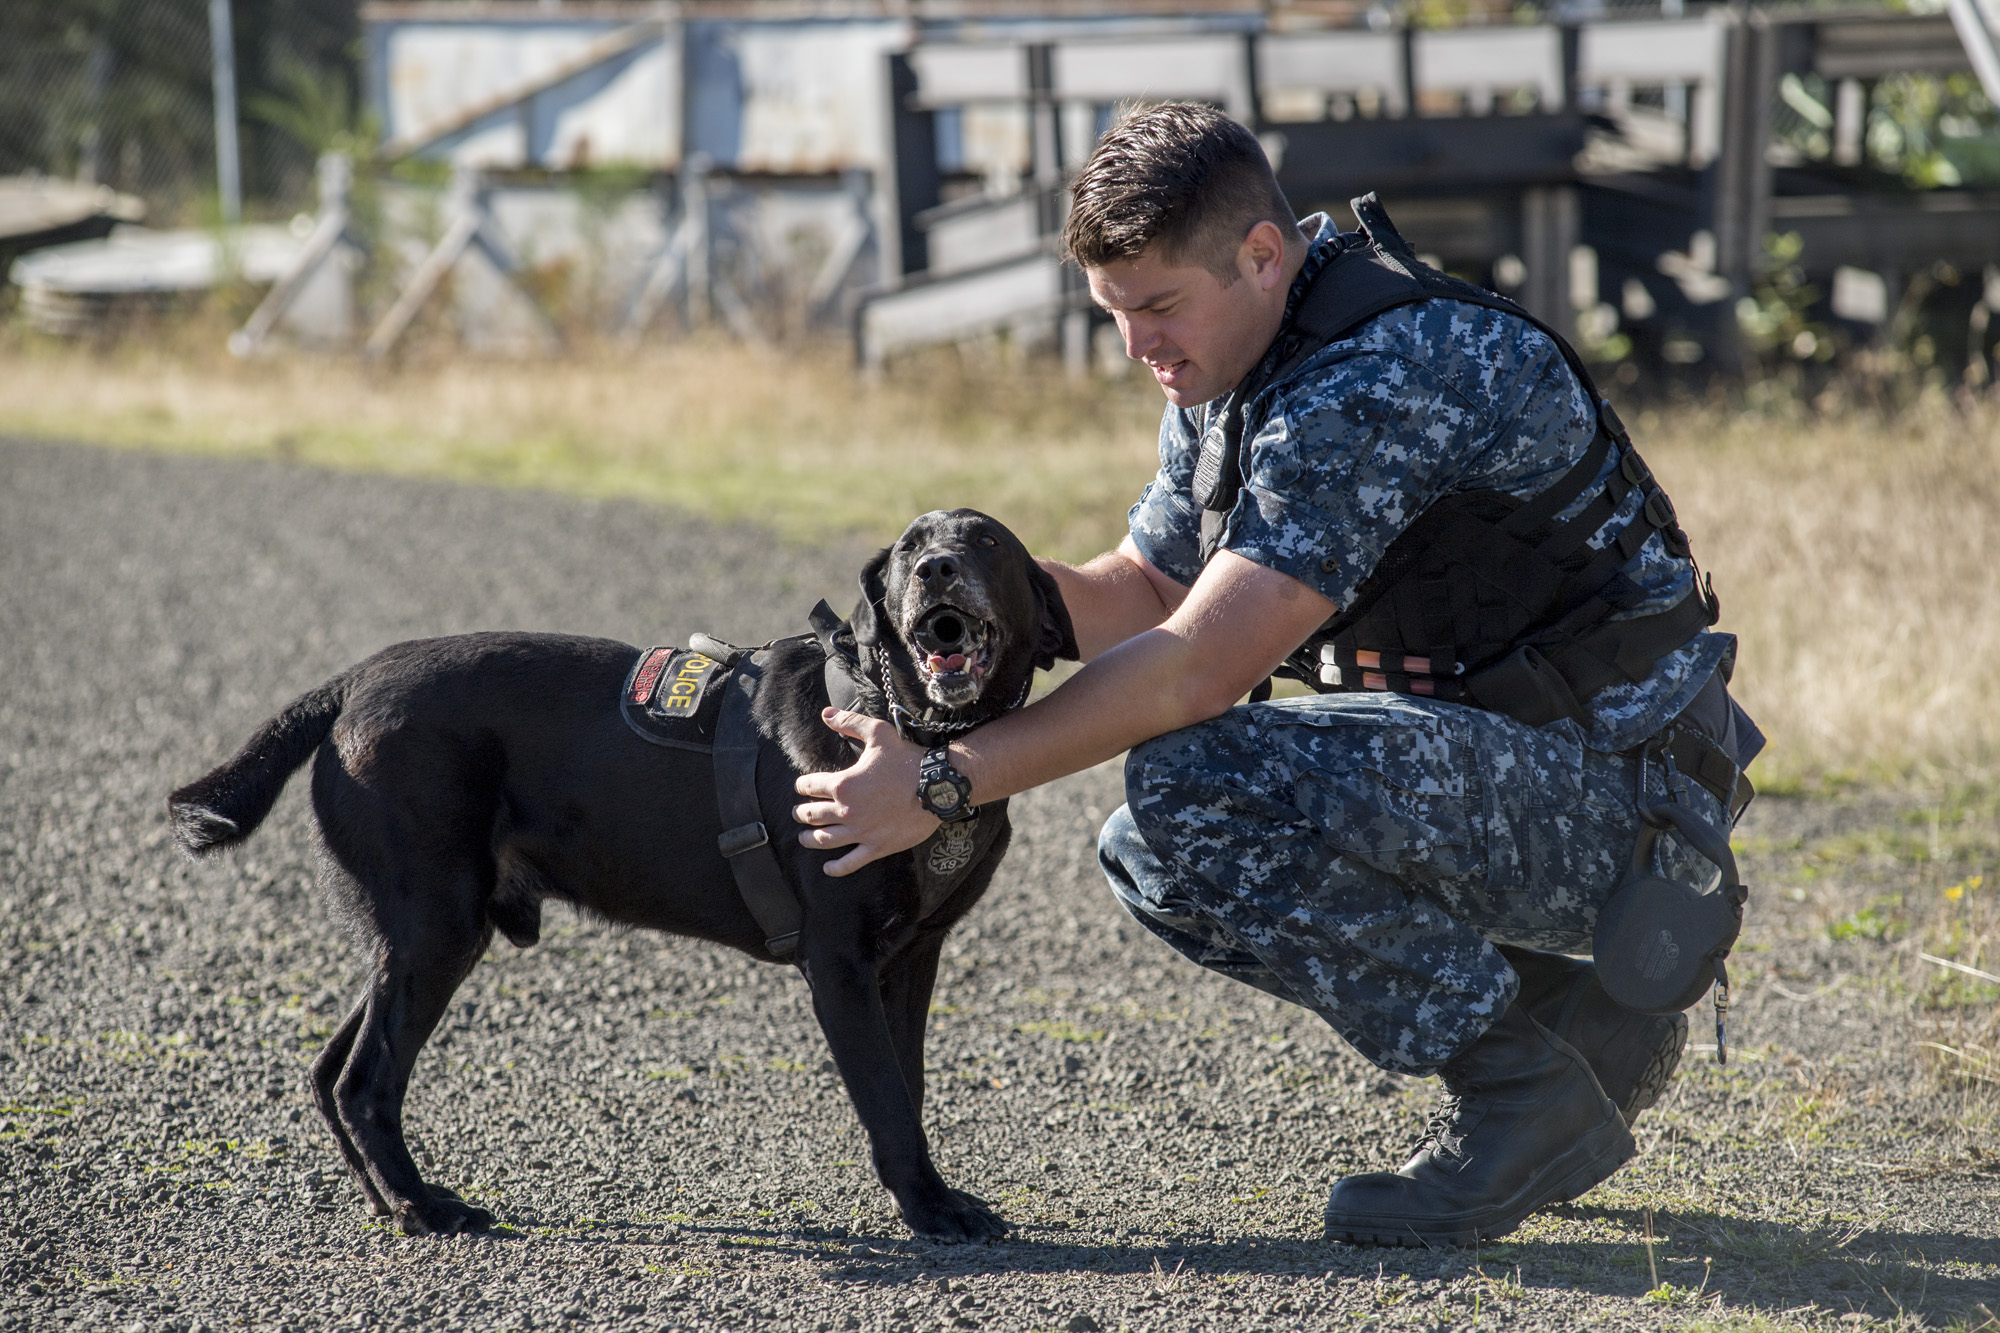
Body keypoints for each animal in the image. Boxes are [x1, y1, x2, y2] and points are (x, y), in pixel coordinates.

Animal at [168, 506, 1080, 1232]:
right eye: (907, 548)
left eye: (987, 541)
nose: (935, 569)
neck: (912, 732)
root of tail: (350, 683)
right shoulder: (841, 964)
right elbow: (887, 1095)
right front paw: (931, 1210)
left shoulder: (912, 958)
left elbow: (909, 1084)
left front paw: (926, 1195)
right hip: (436, 925)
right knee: (365, 1080)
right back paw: (427, 1206)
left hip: (421, 933)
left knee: (332, 1073)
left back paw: (392, 1202)